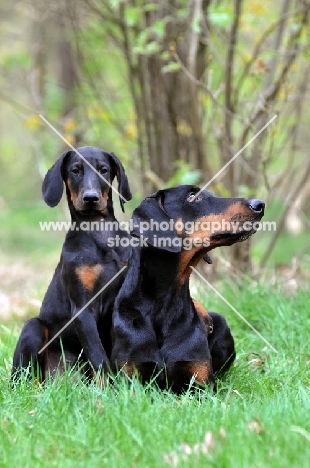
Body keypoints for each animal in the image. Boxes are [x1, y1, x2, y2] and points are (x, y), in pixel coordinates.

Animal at [11, 147, 131, 384]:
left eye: (103, 170)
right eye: (75, 170)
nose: (91, 198)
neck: (98, 231)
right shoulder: (83, 309)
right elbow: (99, 357)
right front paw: (108, 390)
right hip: (33, 330)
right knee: (26, 379)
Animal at [111, 185, 264, 394]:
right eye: (193, 197)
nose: (260, 204)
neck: (163, 306)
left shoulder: (202, 384)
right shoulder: (128, 382)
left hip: (220, 323)